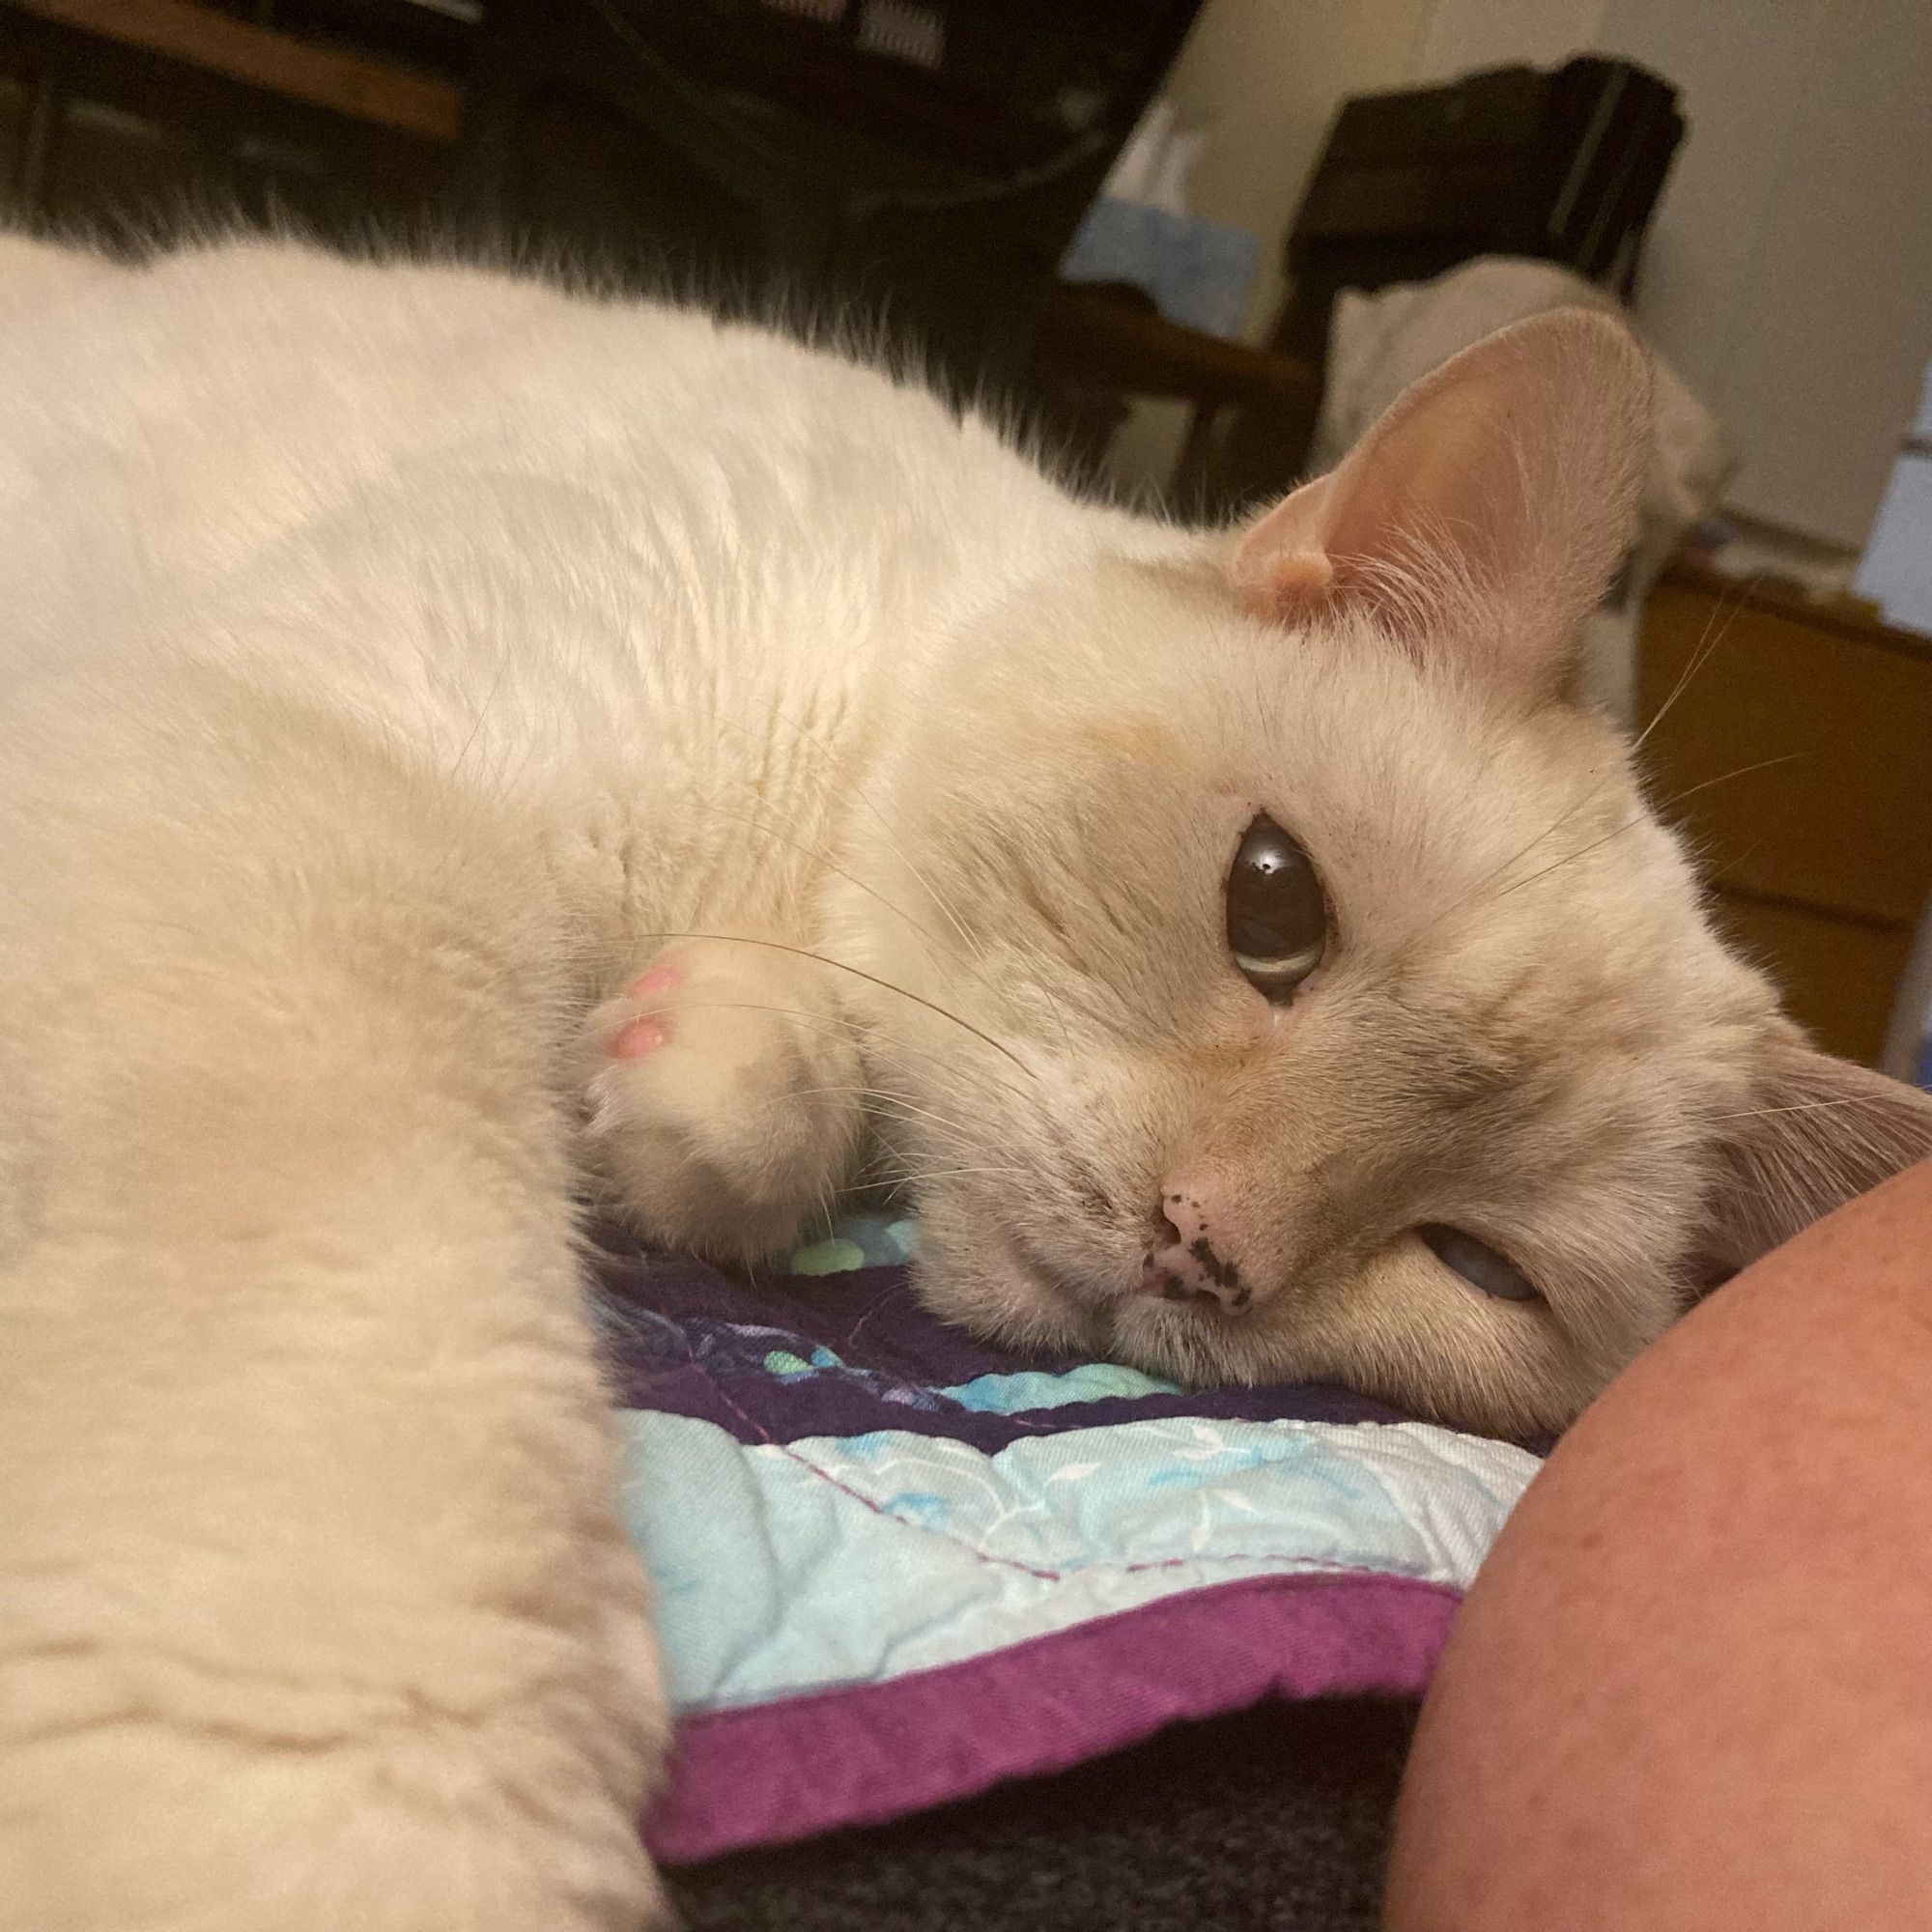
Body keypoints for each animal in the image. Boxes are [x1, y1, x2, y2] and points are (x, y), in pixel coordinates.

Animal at [0, 234, 1924, 1924]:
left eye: (1473, 1268)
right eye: (1272, 905)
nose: (1201, 1249)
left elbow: (752, 1111)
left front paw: (677, 1080)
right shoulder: (332, 791)